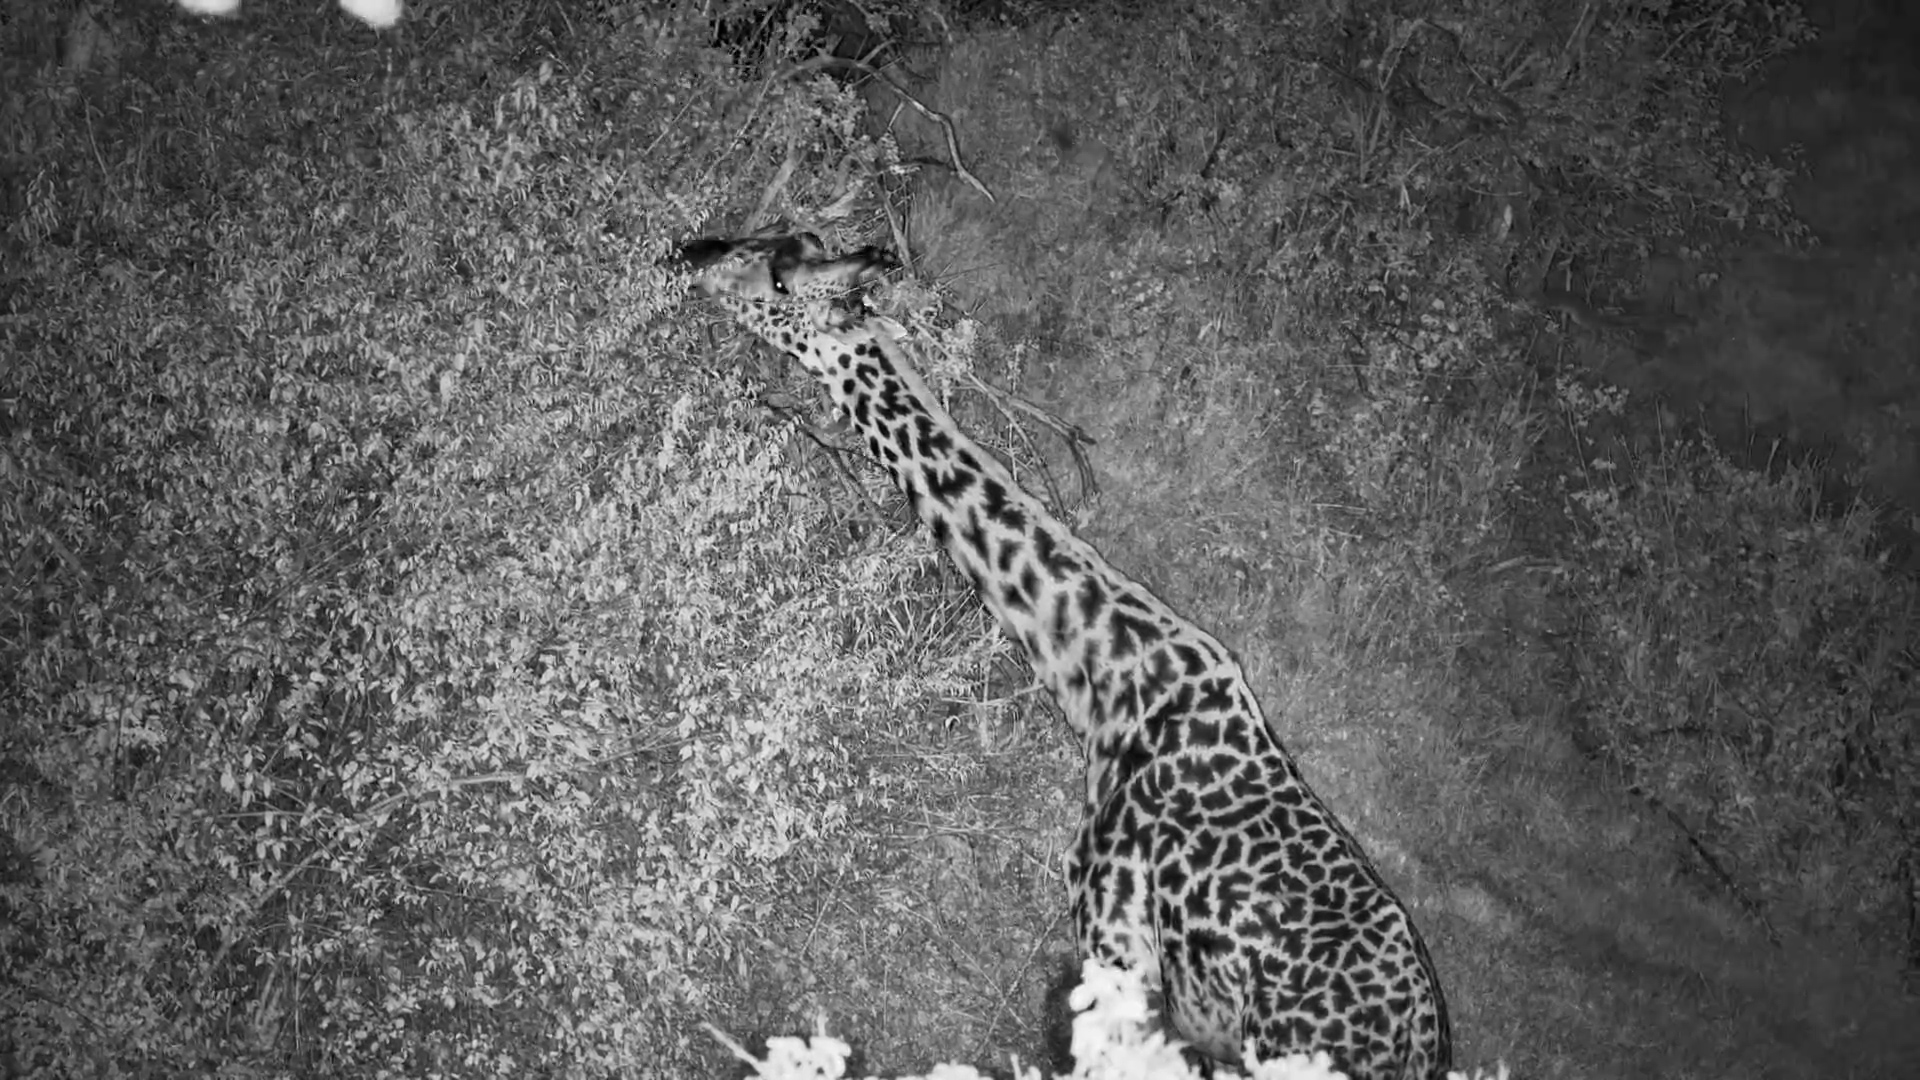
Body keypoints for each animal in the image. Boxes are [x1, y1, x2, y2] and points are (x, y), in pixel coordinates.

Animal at [676, 232, 1453, 1080]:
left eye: (781, 280)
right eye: (775, 244)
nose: (695, 256)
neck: (1108, 684)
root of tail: (1419, 1048)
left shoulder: (1114, 938)